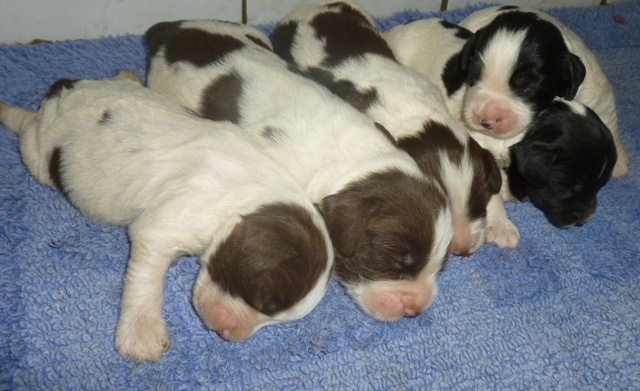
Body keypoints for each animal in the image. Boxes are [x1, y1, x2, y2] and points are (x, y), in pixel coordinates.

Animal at [1, 70, 336, 362]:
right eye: (261, 299)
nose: (228, 334)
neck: (250, 195)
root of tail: (64, 88)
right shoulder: (165, 227)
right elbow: (145, 280)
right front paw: (141, 336)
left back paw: (127, 74)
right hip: (38, 152)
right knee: (27, 127)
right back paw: (7, 111)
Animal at [458, 6, 628, 178]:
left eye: (528, 88)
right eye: (474, 75)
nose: (486, 121)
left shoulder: (594, 92)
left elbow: (607, 117)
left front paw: (619, 163)